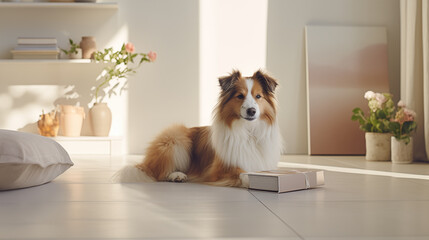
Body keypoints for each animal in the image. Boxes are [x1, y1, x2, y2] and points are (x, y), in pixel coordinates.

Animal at [113, 69, 280, 188]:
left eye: (258, 96)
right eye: (240, 96)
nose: (251, 111)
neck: (249, 131)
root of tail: (146, 163)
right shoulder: (220, 169)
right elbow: (243, 174)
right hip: (176, 139)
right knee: (159, 173)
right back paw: (177, 176)